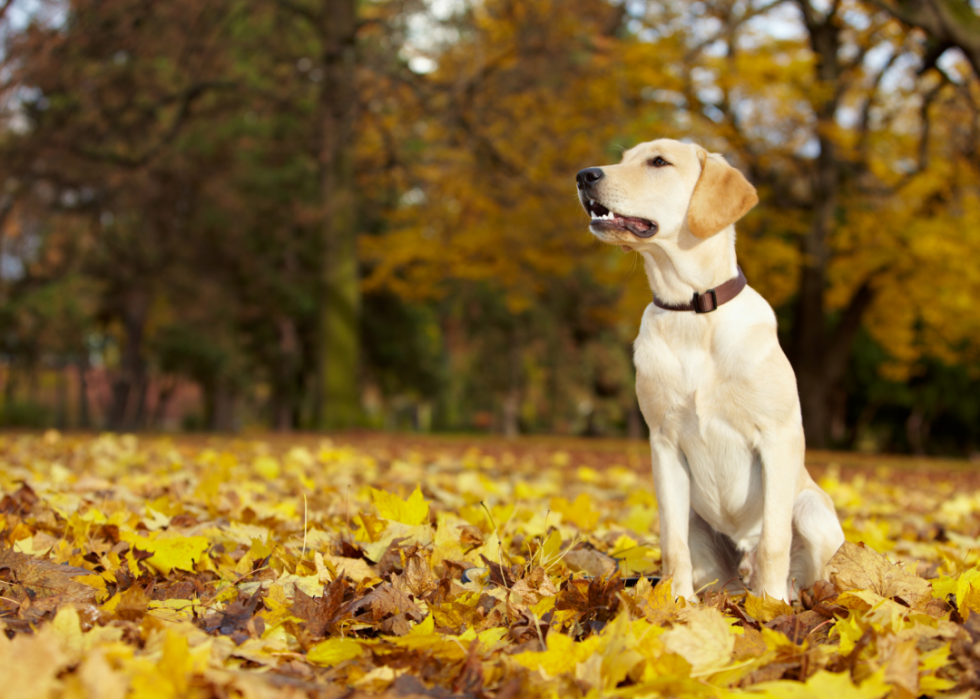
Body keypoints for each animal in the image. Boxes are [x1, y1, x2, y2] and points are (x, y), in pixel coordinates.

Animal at [576, 138, 844, 600]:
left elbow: (775, 539)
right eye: (624, 157)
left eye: (659, 162)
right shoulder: (664, 443)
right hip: (701, 530)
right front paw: (675, 604)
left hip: (813, 512)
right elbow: (672, 543)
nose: (583, 175)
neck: (694, 311)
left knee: (798, 566)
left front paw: (770, 606)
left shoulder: (779, 437)